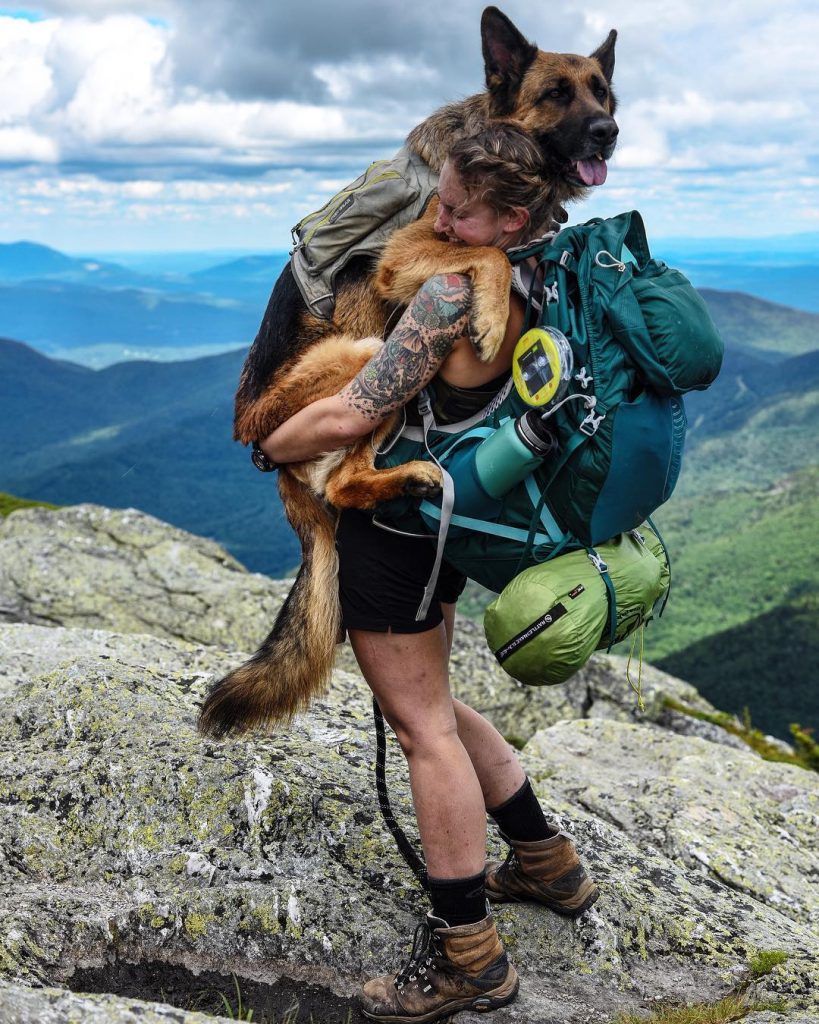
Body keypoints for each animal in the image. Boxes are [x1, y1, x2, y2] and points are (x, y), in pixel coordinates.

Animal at [199, 4, 614, 733]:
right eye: (558, 93)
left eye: (601, 91)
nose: (608, 132)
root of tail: (260, 445)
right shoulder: (408, 254)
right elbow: (491, 256)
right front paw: (487, 313)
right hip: (369, 356)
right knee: (343, 483)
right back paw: (408, 474)